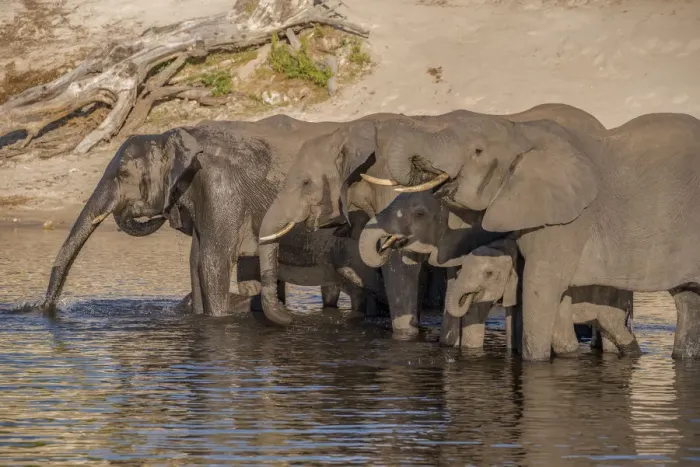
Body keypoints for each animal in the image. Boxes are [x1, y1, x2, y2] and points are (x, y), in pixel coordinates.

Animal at [38, 115, 388, 321]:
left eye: (123, 174)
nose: (42, 310)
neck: (173, 135)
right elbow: (195, 262)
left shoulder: (220, 186)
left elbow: (212, 262)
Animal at [368, 108, 700, 361]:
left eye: (477, 151)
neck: (521, 131)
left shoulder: (569, 220)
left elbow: (539, 286)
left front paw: (535, 363)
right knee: (688, 300)